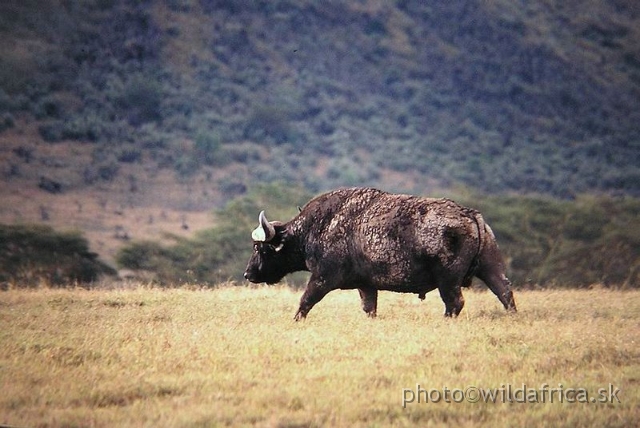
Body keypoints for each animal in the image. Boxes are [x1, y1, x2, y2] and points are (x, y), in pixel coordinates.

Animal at [242, 186, 516, 320]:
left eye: (260, 248)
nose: (247, 274)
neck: (318, 226)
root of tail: (468, 213)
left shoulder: (322, 278)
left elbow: (306, 301)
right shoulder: (366, 286)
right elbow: (369, 309)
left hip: (447, 280)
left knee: (455, 303)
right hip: (491, 268)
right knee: (505, 293)